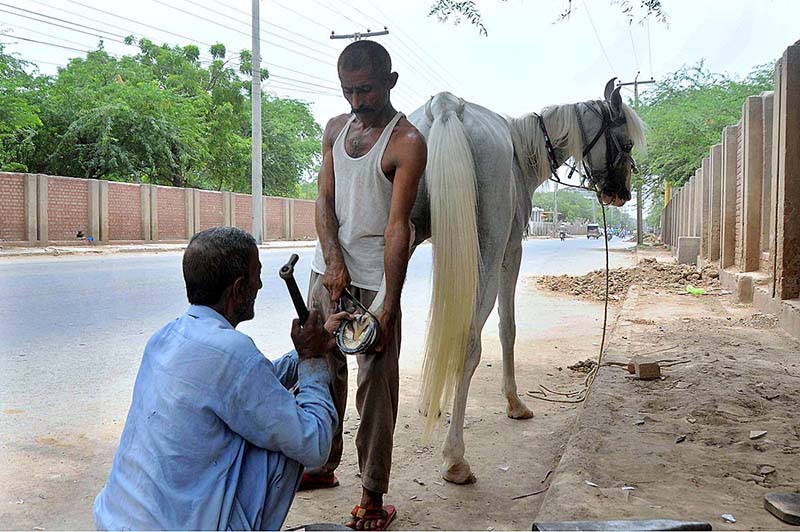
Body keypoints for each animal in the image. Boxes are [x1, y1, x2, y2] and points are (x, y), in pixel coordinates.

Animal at [405, 79, 646, 484]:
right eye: (626, 143)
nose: (622, 193)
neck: (523, 153)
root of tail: (447, 106)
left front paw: (430, 403)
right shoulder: (512, 249)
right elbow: (508, 328)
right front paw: (514, 402)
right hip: (488, 245)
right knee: (469, 341)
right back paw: (455, 458)